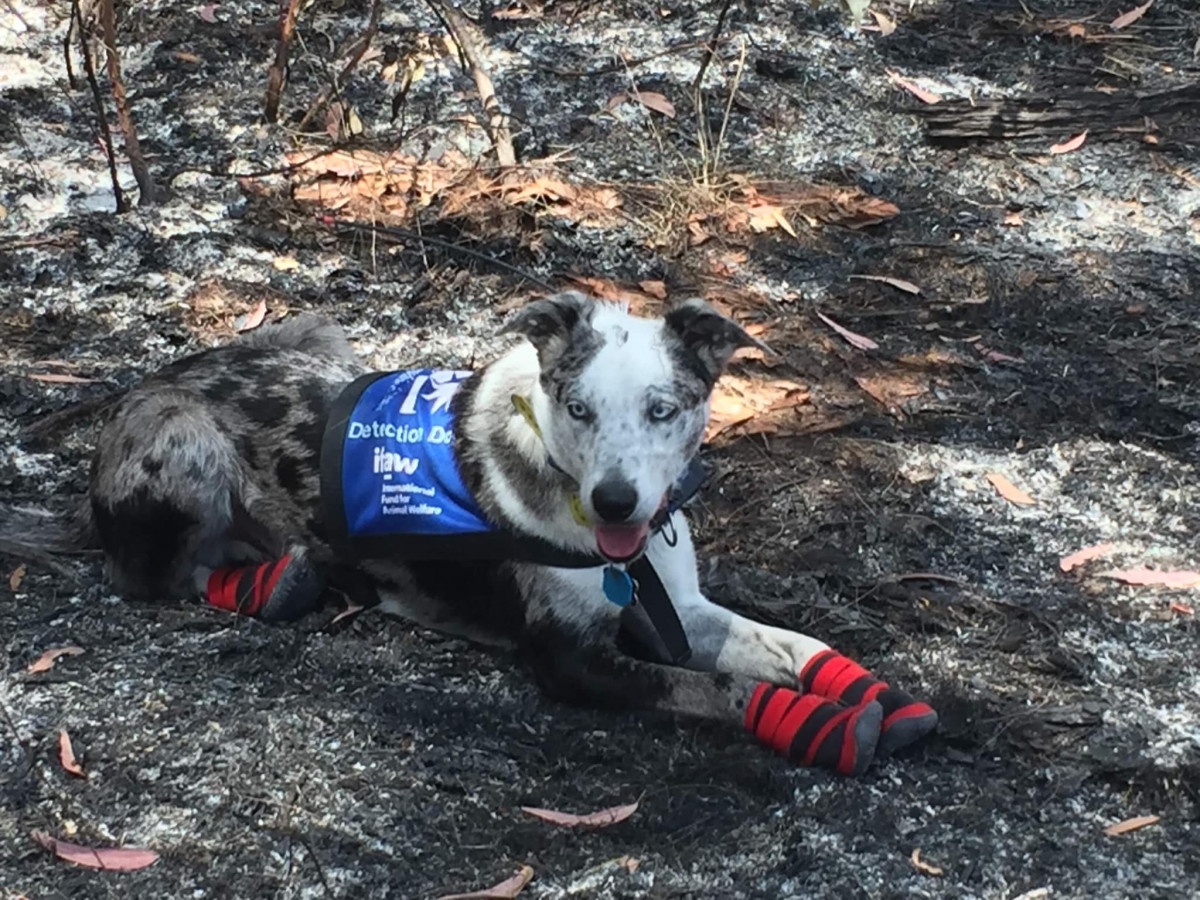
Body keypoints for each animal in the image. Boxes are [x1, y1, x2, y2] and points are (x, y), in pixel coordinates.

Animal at [0, 294, 936, 777]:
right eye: (578, 407)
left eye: (662, 409)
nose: (615, 505)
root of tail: (131, 395)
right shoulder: (572, 661)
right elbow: (718, 689)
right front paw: (822, 723)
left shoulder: (680, 605)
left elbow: (786, 645)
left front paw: (872, 694)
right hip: (185, 442)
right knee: (153, 575)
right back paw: (283, 583)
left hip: (321, 332)